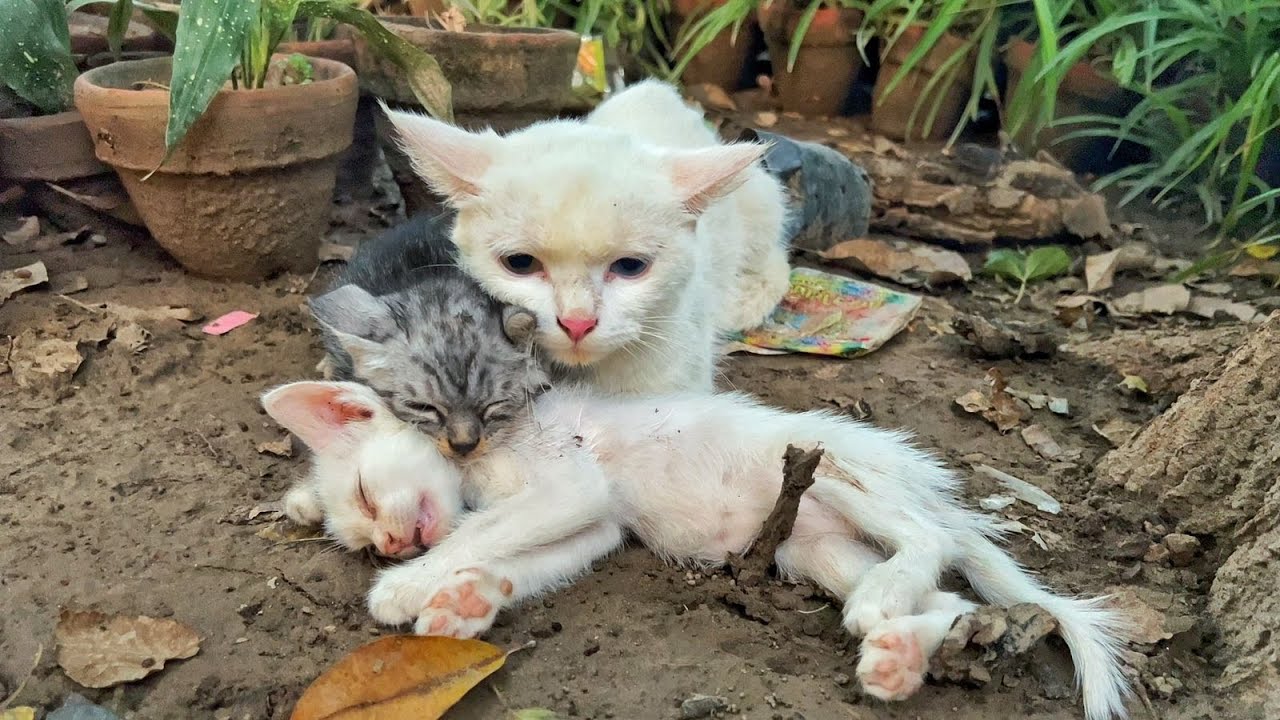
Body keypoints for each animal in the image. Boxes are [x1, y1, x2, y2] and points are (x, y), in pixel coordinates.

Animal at [262, 381, 1131, 717]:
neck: (476, 451)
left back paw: (891, 608)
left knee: (926, 541)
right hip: (815, 549)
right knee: (945, 595)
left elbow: (480, 531)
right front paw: (468, 601)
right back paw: (901, 652)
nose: (388, 543)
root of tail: (925, 482)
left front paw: (409, 588)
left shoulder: (568, 487)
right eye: (361, 534)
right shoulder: (596, 523)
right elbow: (518, 558)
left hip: (828, 472)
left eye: (367, 493)